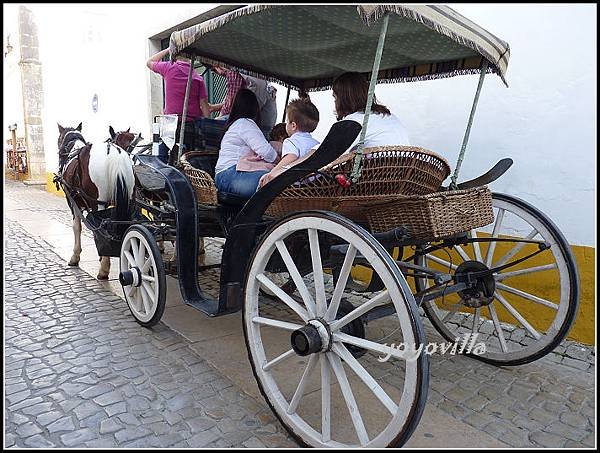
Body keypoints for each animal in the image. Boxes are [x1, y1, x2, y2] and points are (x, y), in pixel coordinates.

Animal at [53, 124, 138, 278]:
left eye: (59, 139)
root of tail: (115, 155)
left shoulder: (72, 201)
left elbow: (77, 227)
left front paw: (75, 257)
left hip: (98, 203)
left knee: (102, 227)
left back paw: (104, 269)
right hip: (128, 200)